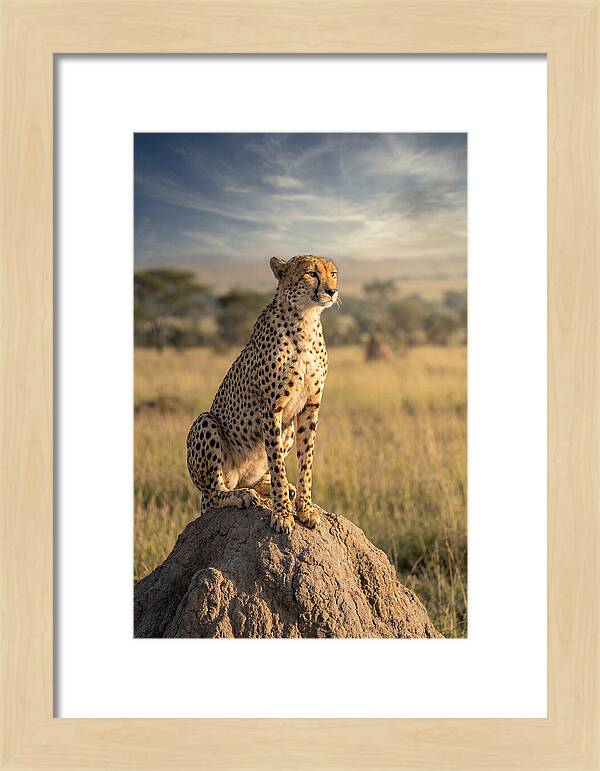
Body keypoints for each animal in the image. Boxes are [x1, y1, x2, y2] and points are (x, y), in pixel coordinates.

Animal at [186, 254, 339, 534]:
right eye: (311, 274)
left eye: (333, 273)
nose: (332, 291)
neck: (306, 319)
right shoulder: (271, 408)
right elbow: (277, 463)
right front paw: (282, 515)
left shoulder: (310, 406)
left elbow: (306, 462)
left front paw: (305, 509)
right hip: (206, 422)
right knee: (214, 493)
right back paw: (240, 496)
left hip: (287, 429)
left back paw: (272, 488)